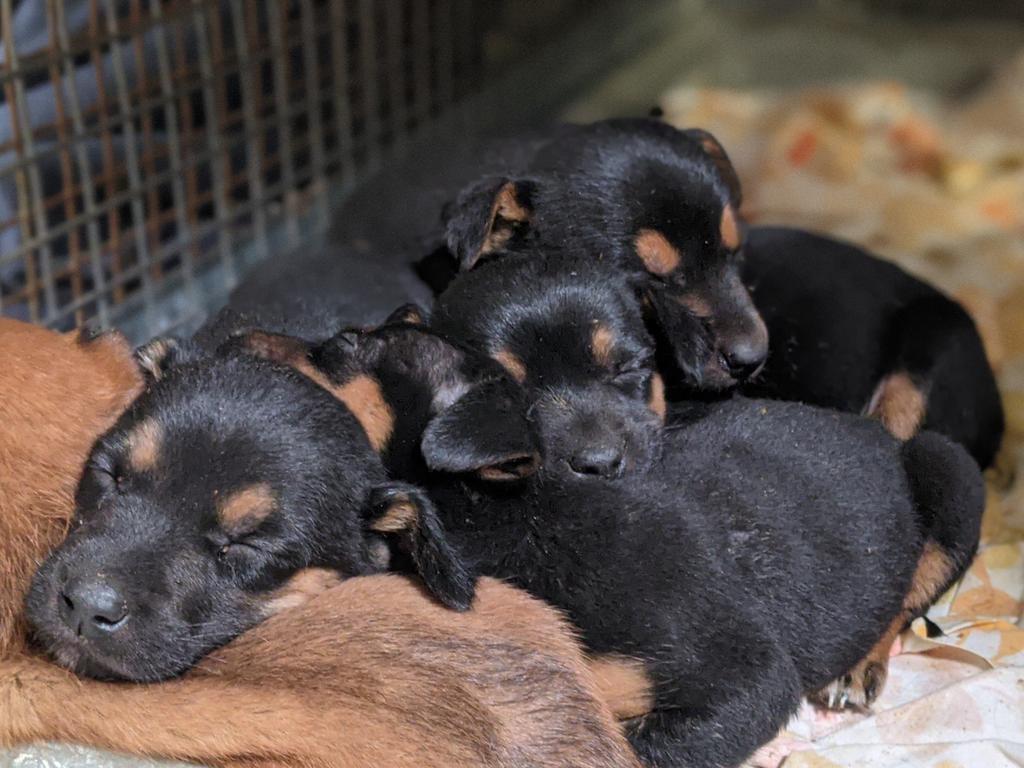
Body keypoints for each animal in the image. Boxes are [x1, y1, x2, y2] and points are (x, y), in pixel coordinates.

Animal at [239, 313, 983, 768]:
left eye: (347, 347)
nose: (236, 330)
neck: (509, 521)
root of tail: (875, 430)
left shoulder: (748, 677)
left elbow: (638, 749)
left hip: (951, 470)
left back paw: (859, 667)